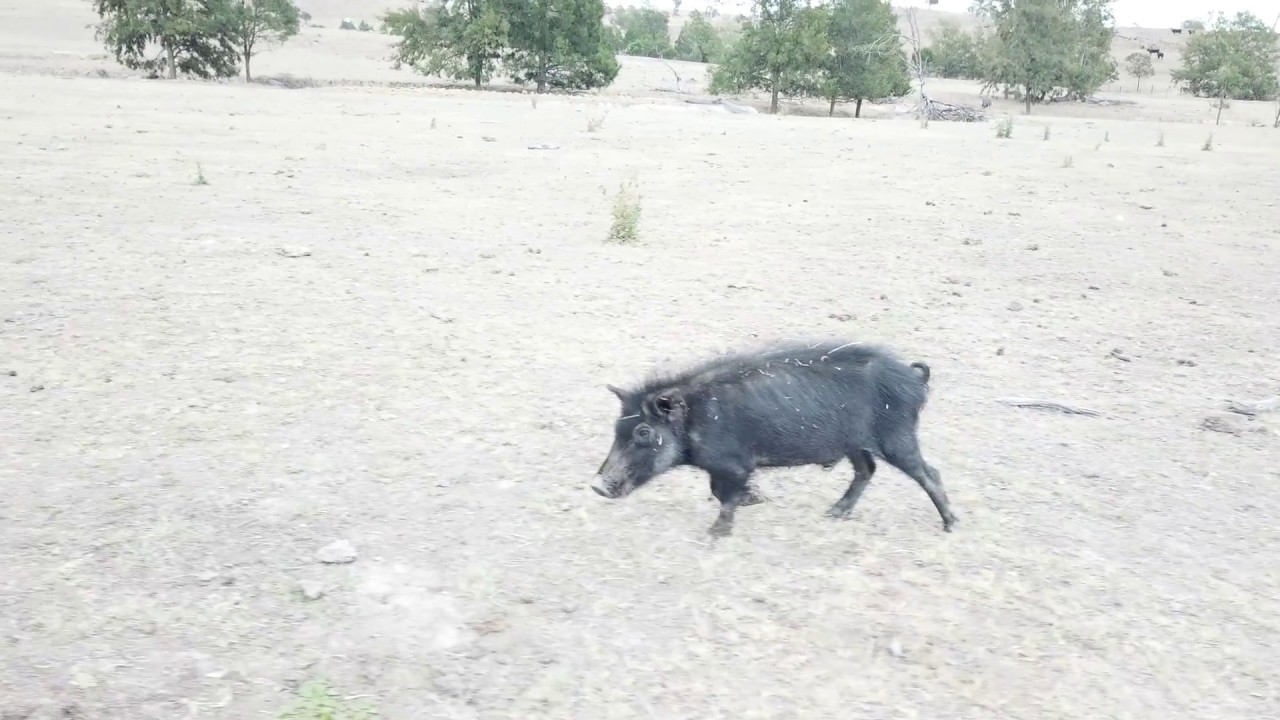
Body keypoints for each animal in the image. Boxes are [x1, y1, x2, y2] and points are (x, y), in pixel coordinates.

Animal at [591, 340, 957, 537]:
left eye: (643, 432)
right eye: (617, 427)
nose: (597, 486)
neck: (695, 416)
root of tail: (913, 377)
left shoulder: (734, 465)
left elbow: (724, 497)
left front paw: (715, 535)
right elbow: (718, 491)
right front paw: (756, 500)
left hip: (897, 436)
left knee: (930, 473)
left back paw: (951, 525)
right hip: (856, 442)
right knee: (866, 470)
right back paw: (833, 513)